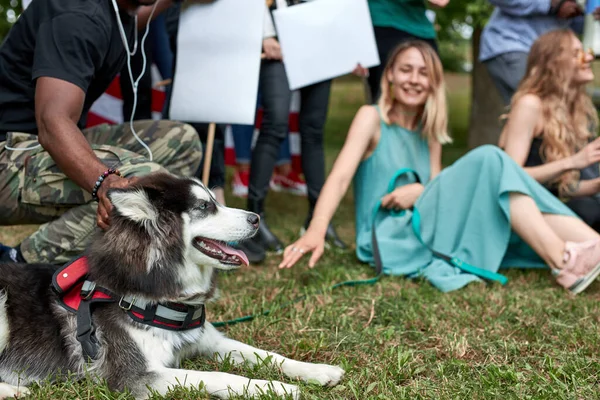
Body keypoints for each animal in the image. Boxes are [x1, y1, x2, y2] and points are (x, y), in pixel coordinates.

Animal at [0, 173, 342, 398]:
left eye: (215, 201)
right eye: (204, 207)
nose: (256, 218)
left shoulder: (208, 340)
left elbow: (266, 354)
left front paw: (318, 371)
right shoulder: (135, 376)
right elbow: (219, 375)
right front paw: (277, 388)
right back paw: (16, 390)